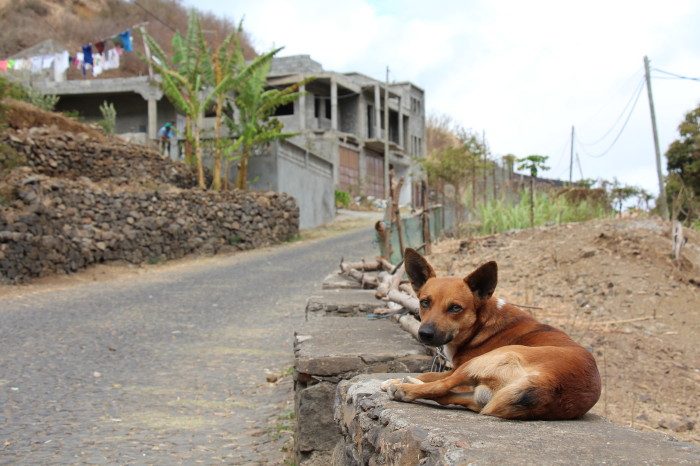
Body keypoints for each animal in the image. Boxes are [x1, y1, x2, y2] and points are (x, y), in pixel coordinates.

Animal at [382, 249, 600, 420]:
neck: (480, 325)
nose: (425, 334)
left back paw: (403, 388)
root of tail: (548, 383)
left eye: (455, 308)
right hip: (482, 397)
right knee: (445, 396)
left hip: (485, 361)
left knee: (441, 386)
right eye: (425, 302)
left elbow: (430, 374)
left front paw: (396, 380)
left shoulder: (458, 367)